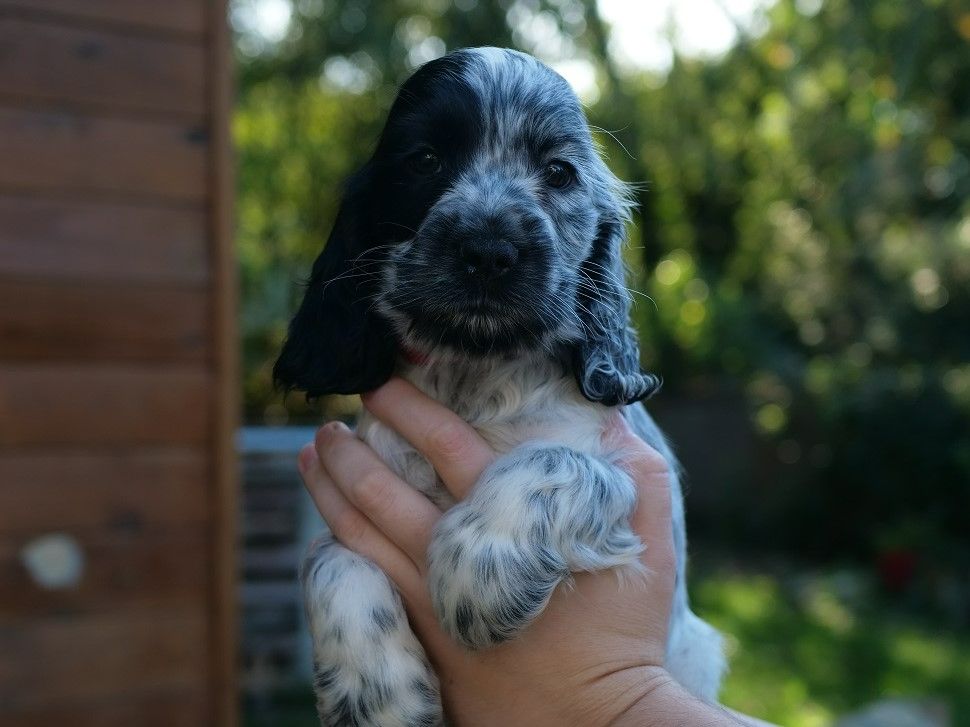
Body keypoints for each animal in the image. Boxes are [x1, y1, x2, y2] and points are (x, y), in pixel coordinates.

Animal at [276, 47, 724, 727]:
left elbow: (553, 460)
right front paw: (381, 700)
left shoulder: (635, 474)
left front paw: (477, 571)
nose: (487, 250)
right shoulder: (356, 500)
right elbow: (329, 561)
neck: (475, 377)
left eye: (560, 172)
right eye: (424, 159)